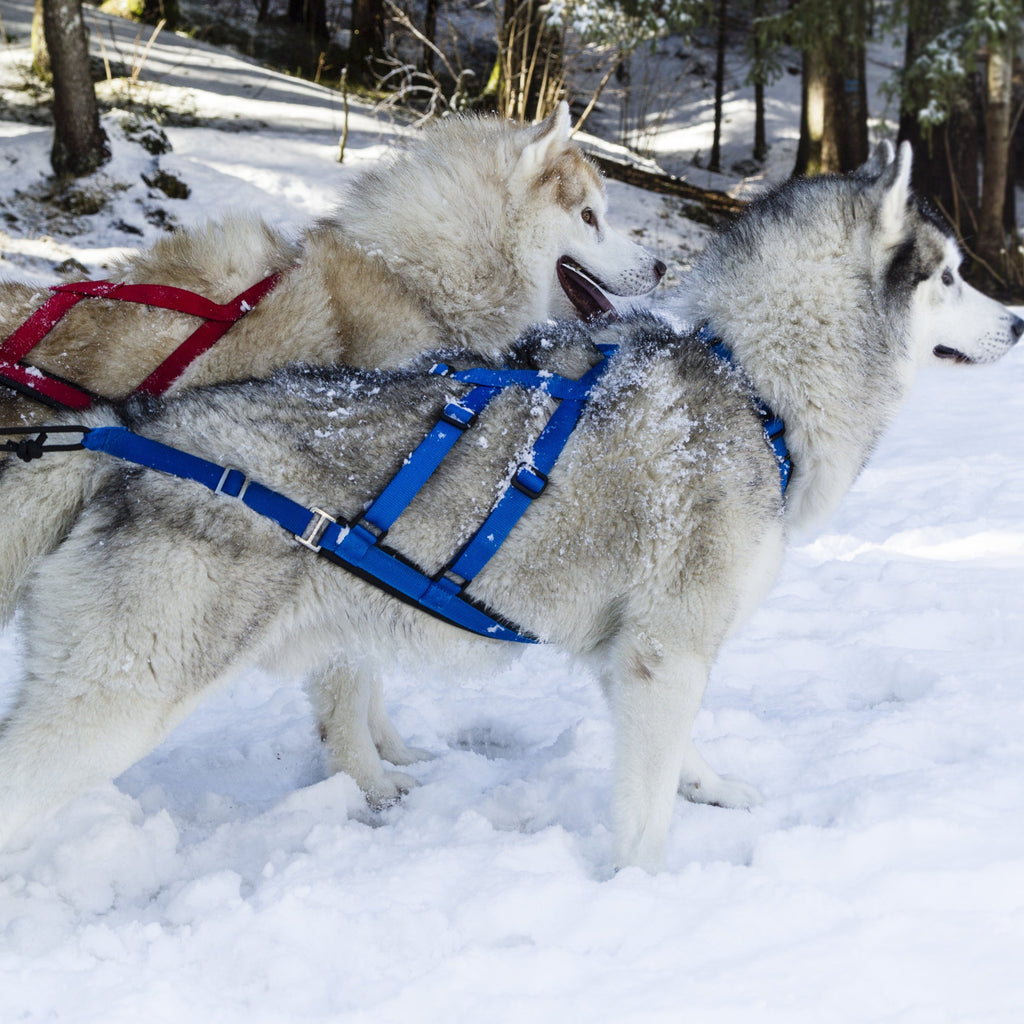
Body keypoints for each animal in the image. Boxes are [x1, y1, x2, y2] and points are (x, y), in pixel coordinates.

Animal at [0, 144, 1015, 868]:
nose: (1017, 323)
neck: (750, 377)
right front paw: (643, 896)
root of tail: (121, 433)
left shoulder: (635, 654)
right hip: (116, 706)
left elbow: (673, 757)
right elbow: (642, 818)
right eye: (951, 276)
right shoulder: (666, 651)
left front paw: (709, 786)